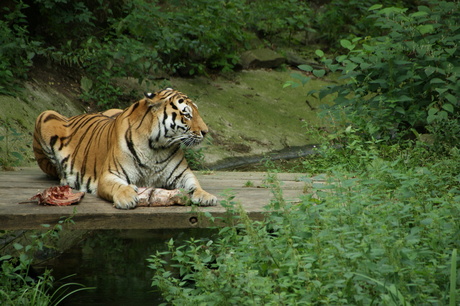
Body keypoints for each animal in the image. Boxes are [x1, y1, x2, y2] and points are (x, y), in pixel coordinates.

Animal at [33, 87, 217, 209]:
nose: (206, 131)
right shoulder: (109, 175)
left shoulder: (182, 174)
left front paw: (206, 196)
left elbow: (194, 185)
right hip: (45, 115)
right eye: (187, 114)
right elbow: (118, 186)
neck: (156, 147)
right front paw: (127, 197)